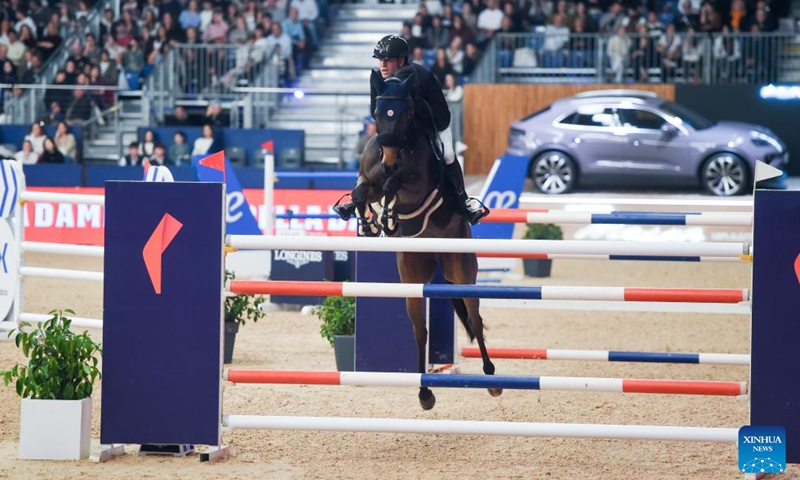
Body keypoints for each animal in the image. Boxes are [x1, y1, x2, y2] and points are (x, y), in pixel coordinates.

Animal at [332, 69, 496, 410]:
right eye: (378, 113)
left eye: (405, 112)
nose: (389, 159)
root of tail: (435, 253)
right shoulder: (369, 179)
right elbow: (361, 191)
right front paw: (369, 222)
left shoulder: (417, 184)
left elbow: (395, 185)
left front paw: (388, 216)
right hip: (412, 273)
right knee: (420, 329)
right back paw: (424, 393)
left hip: (462, 269)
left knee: (474, 318)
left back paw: (491, 379)